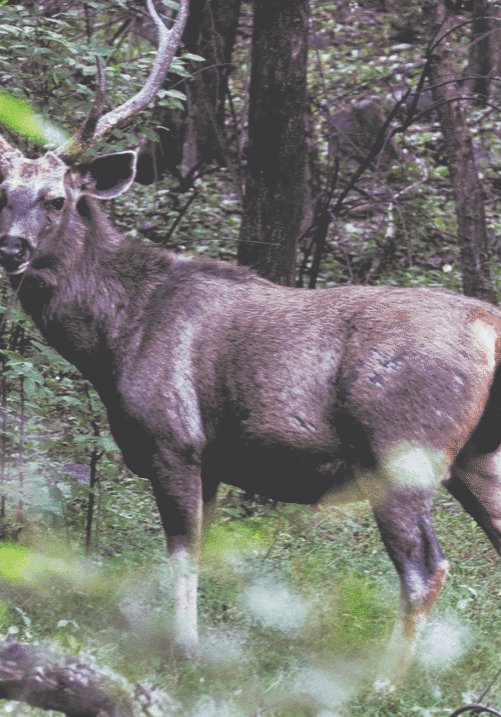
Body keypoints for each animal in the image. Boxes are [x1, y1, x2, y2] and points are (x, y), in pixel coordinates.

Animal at [1, 0, 501, 692]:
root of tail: (488, 325)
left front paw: (184, 654)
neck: (115, 336)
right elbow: (208, 556)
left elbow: (182, 556)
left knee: (425, 569)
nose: (11, 249)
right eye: (1, 195)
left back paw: (380, 685)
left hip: (404, 449)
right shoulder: (213, 462)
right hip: (479, 457)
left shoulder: (175, 439)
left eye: (56, 199)